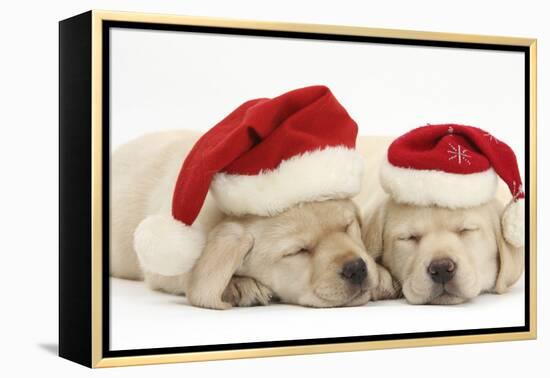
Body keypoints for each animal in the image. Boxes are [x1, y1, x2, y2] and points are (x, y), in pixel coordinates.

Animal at [112, 130, 398, 308]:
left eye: (348, 227)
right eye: (298, 251)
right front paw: (238, 285)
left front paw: (382, 275)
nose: (356, 268)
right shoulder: (164, 264)